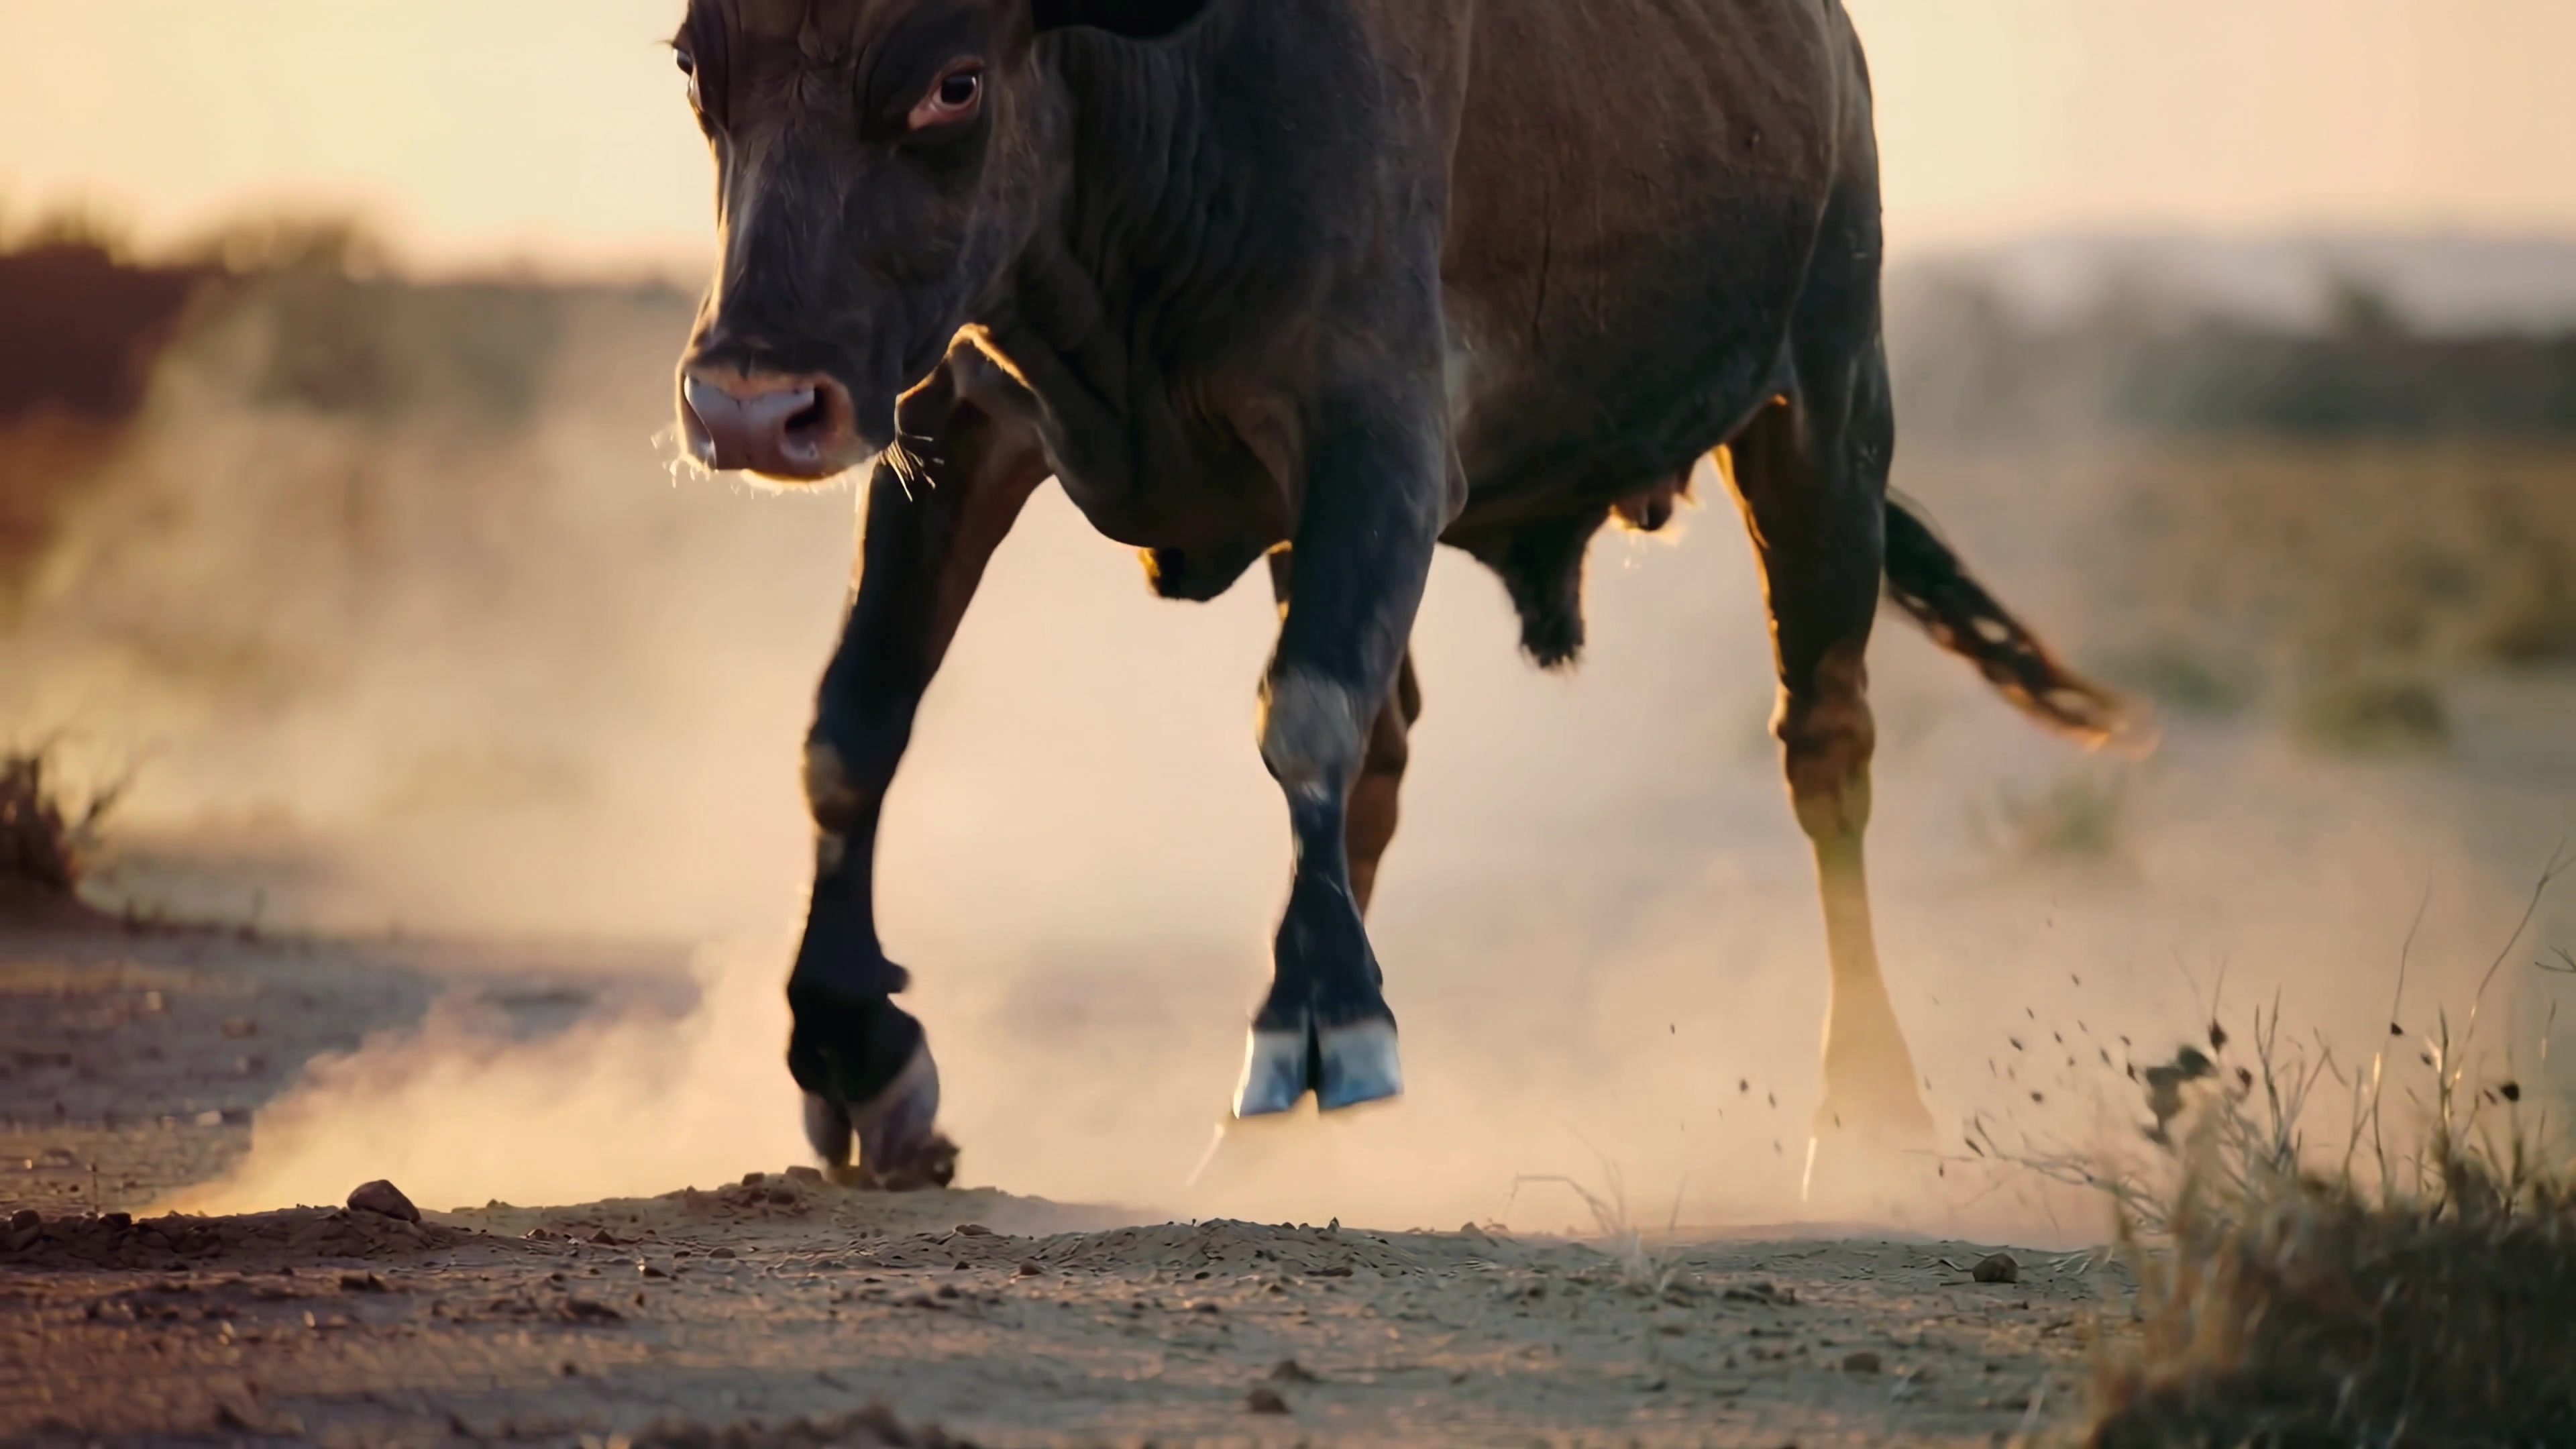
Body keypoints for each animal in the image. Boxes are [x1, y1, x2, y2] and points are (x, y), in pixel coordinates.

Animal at [666, 0, 2132, 1187]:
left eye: (953, 83)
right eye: (694, 64)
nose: (746, 405)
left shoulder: (1378, 435)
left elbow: (1304, 718)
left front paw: (1325, 1026)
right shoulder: (950, 414)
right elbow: (856, 720)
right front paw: (857, 1050)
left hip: (1826, 407)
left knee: (1824, 746)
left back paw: (1870, 1113)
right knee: (1384, 758)